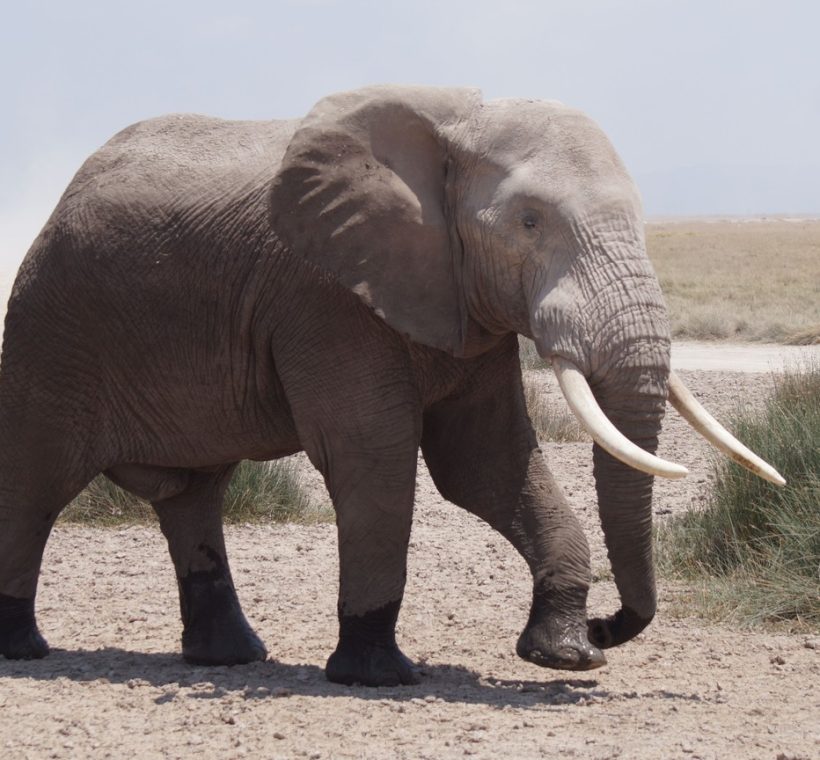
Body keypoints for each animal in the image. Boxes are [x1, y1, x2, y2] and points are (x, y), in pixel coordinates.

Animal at [0, 85, 782, 687]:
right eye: (529, 222)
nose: (609, 625)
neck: (458, 124)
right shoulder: (326, 297)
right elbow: (372, 454)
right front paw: (376, 674)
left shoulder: (462, 304)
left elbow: (487, 462)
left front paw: (563, 656)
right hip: (51, 332)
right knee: (34, 485)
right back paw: (23, 650)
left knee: (193, 495)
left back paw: (228, 659)